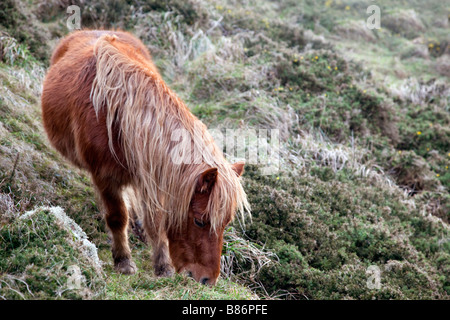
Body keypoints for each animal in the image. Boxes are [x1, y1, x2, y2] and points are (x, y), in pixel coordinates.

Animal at [40, 30, 250, 284]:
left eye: (226, 223)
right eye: (200, 221)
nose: (207, 280)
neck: (119, 120)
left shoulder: (152, 177)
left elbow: (156, 221)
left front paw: (163, 266)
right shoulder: (105, 178)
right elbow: (117, 217)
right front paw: (123, 262)